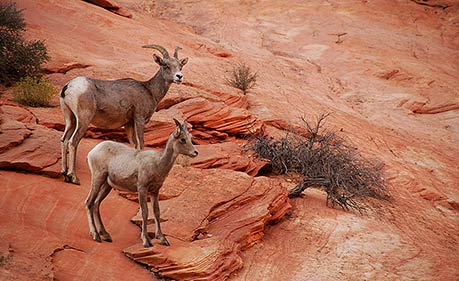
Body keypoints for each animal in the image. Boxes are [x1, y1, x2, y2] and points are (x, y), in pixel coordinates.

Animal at [60, 44, 188, 184]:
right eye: (165, 65)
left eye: (180, 66)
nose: (179, 76)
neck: (149, 91)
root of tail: (69, 86)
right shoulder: (139, 119)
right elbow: (141, 144)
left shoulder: (129, 124)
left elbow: (134, 145)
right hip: (83, 119)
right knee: (73, 141)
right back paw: (73, 177)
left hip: (70, 119)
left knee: (64, 139)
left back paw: (64, 173)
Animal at [85, 118, 199, 247]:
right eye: (182, 139)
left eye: (190, 137)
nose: (195, 152)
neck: (157, 163)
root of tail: (92, 152)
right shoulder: (142, 188)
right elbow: (145, 212)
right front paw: (146, 241)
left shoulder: (155, 191)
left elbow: (156, 212)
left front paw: (163, 239)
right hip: (98, 178)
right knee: (89, 202)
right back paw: (96, 236)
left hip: (107, 185)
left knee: (96, 204)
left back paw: (106, 235)